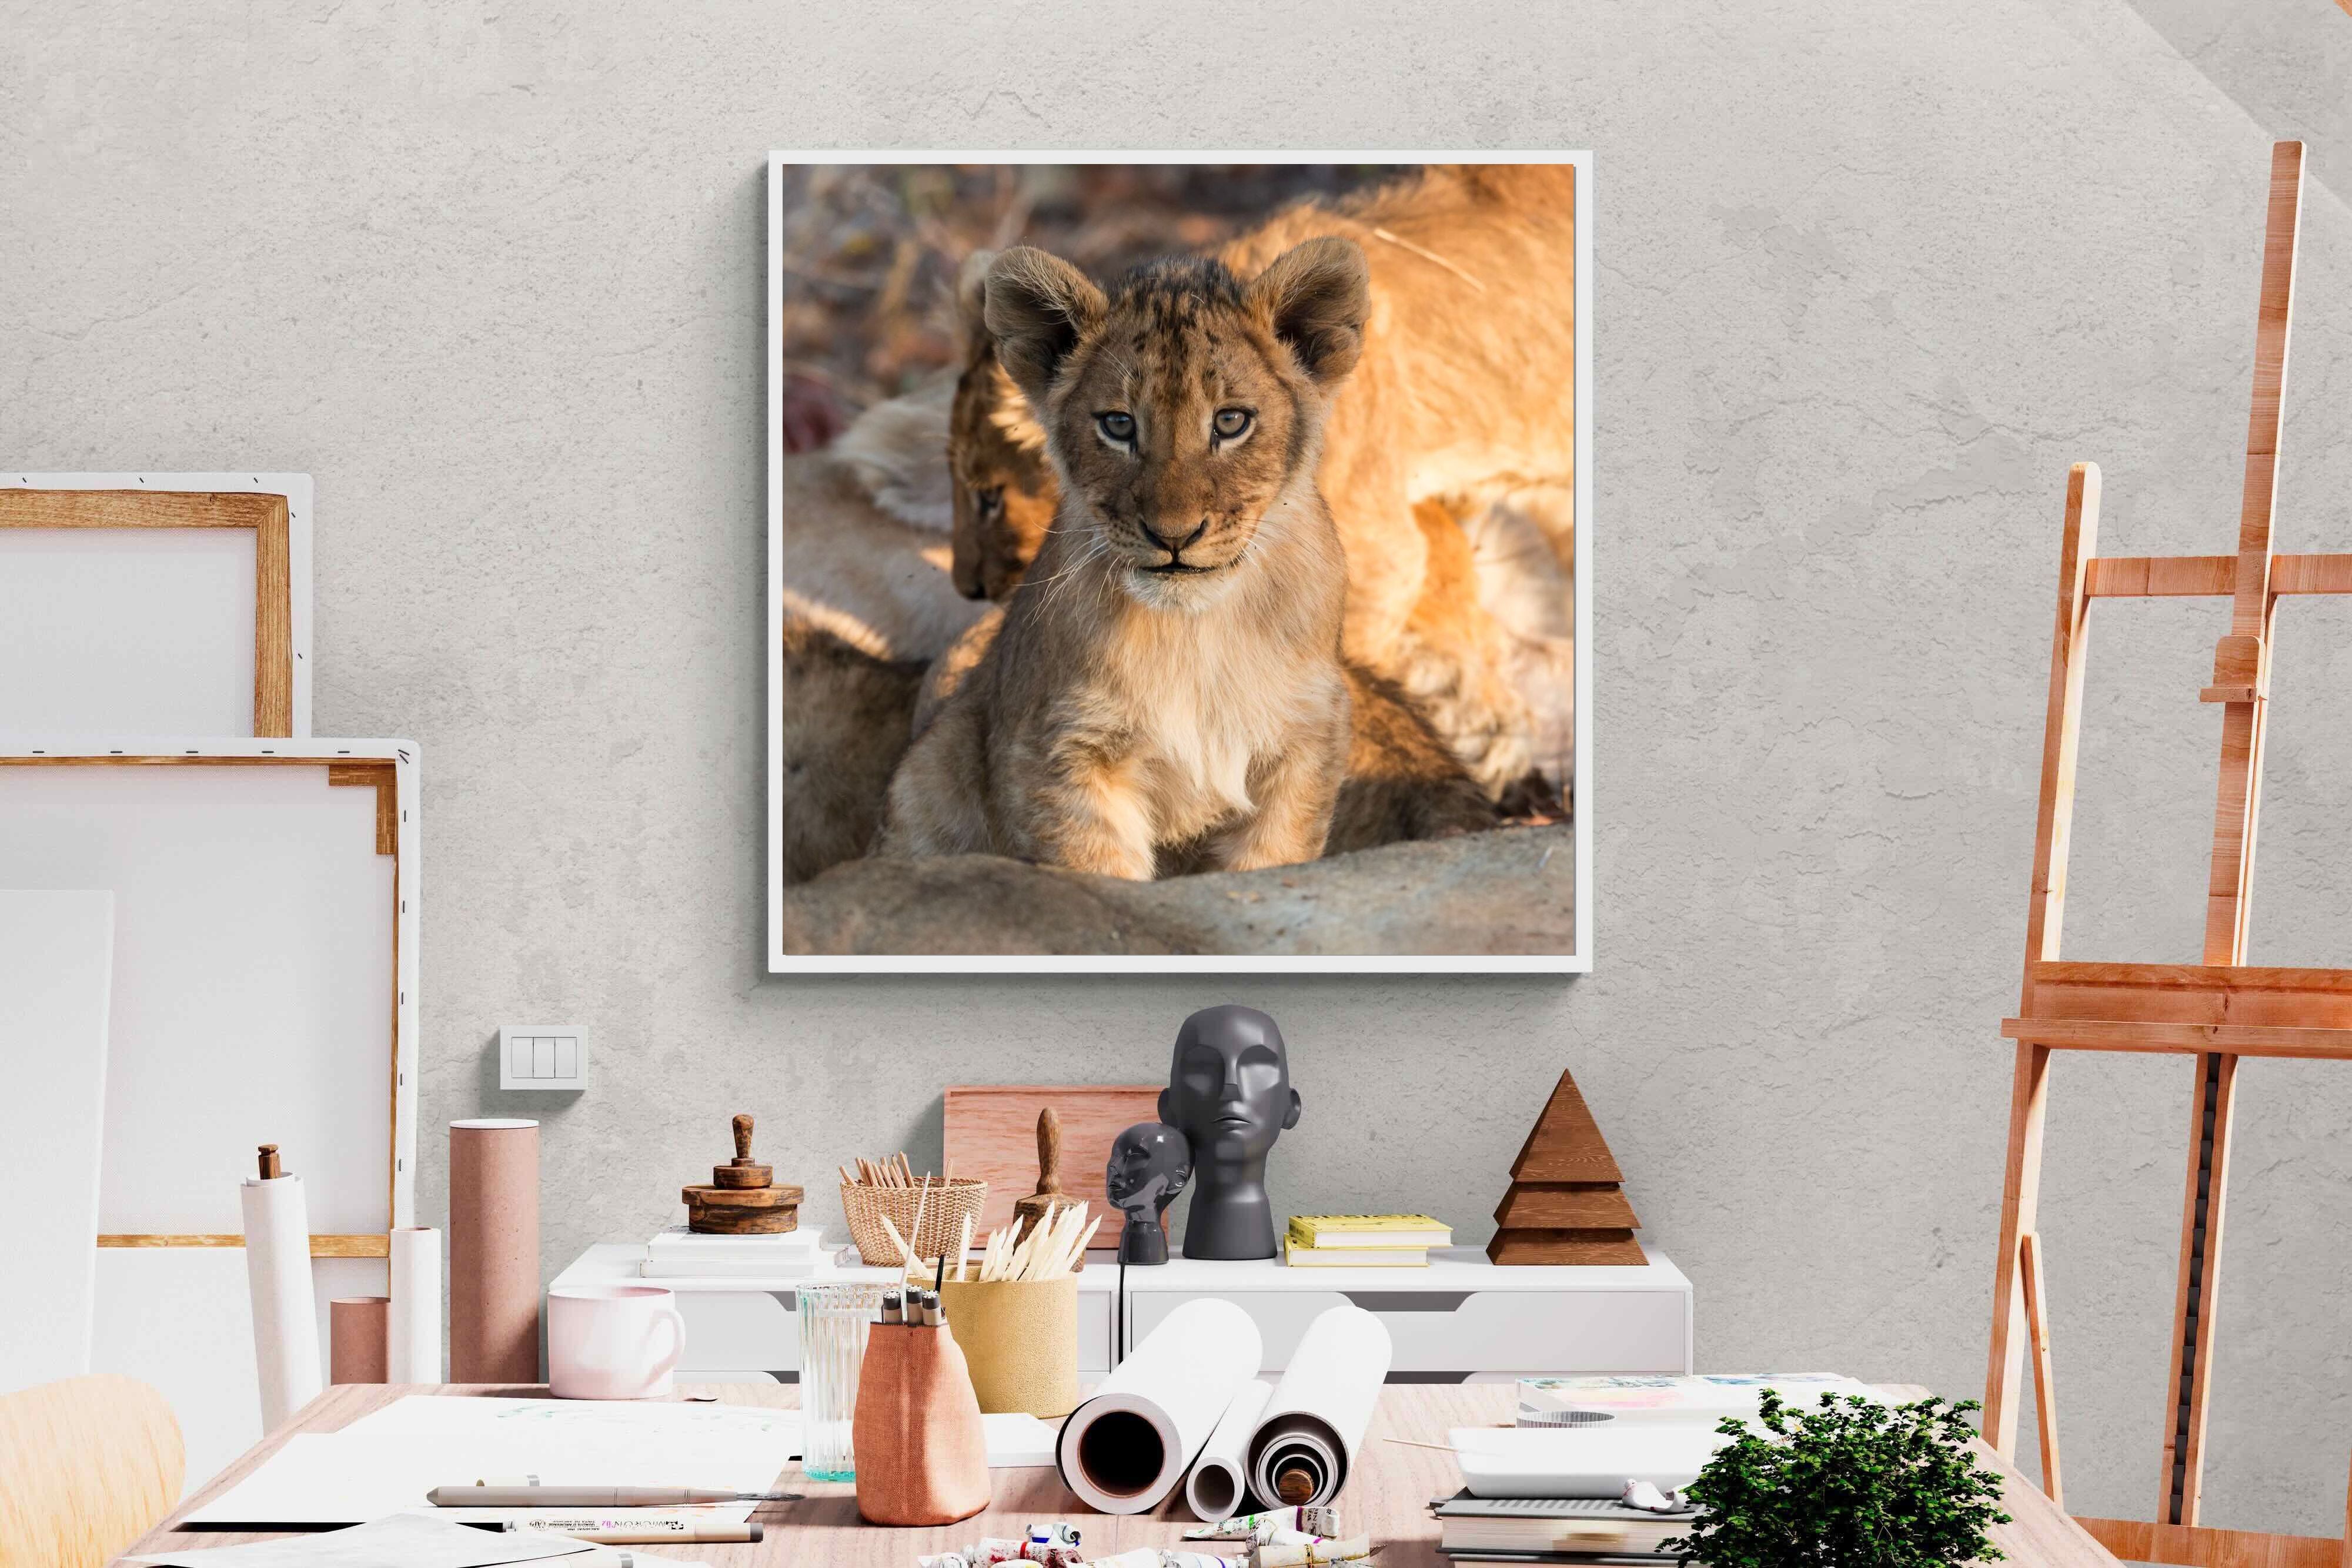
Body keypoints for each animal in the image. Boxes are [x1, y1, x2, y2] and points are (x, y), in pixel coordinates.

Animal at [880, 239, 1373, 878]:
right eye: (1118, 425)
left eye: (1231, 421)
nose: (1174, 535)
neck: (1195, 634)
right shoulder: (1062, 751)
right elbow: (1097, 873)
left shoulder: (1305, 741)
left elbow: (1271, 861)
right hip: (933, 769)